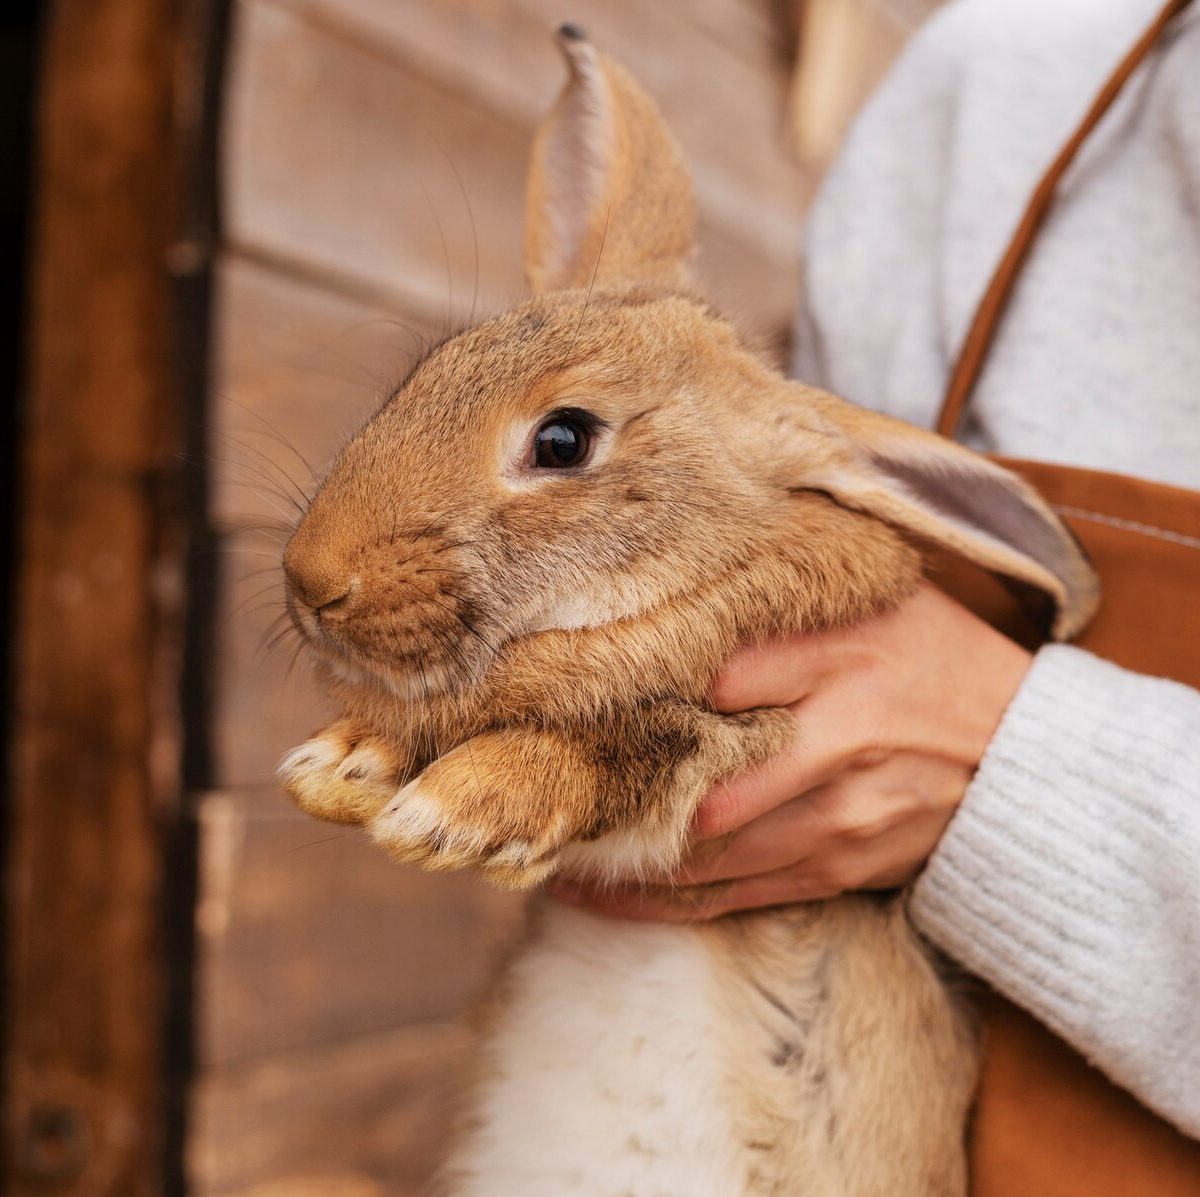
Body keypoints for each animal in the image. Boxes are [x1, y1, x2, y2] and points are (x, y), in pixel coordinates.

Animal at [274, 28, 1099, 1197]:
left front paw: (461, 809)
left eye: (564, 440)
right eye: (424, 374)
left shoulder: (747, 740)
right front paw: (345, 763)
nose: (311, 580)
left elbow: (631, 743)